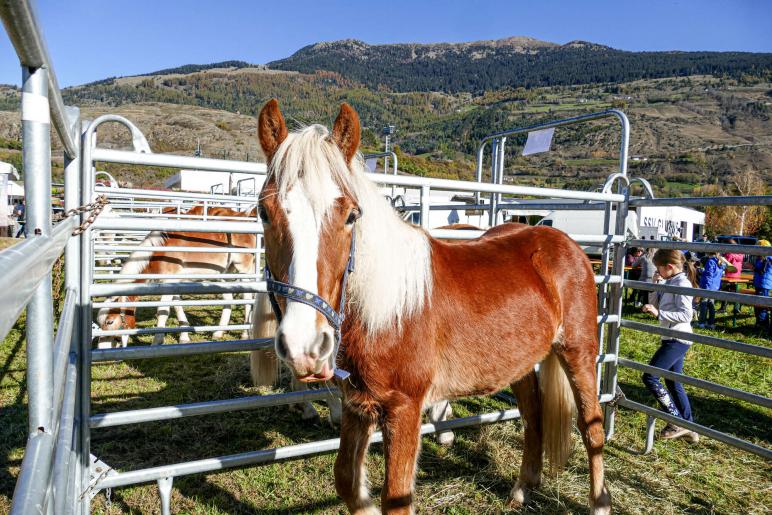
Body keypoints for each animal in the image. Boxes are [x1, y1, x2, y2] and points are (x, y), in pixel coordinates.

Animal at [96, 208, 258, 348]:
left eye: (110, 322)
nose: (102, 347)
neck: (158, 252)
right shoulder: (173, 283)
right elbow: (178, 307)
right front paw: (184, 337)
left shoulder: (168, 282)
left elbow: (163, 311)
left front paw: (156, 341)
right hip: (223, 274)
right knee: (229, 299)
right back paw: (218, 332)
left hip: (243, 271)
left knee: (247, 298)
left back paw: (245, 333)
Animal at [256, 99, 612, 512]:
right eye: (264, 213)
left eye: (350, 215)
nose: (307, 347)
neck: (388, 312)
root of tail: (562, 241)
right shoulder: (358, 404)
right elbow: (346, 479)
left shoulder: (405, 409)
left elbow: (396, 497)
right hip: (521, 361)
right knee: (533, 414)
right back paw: (523, 489)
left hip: (578, 351)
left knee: (591, 424)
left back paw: (599, 501)